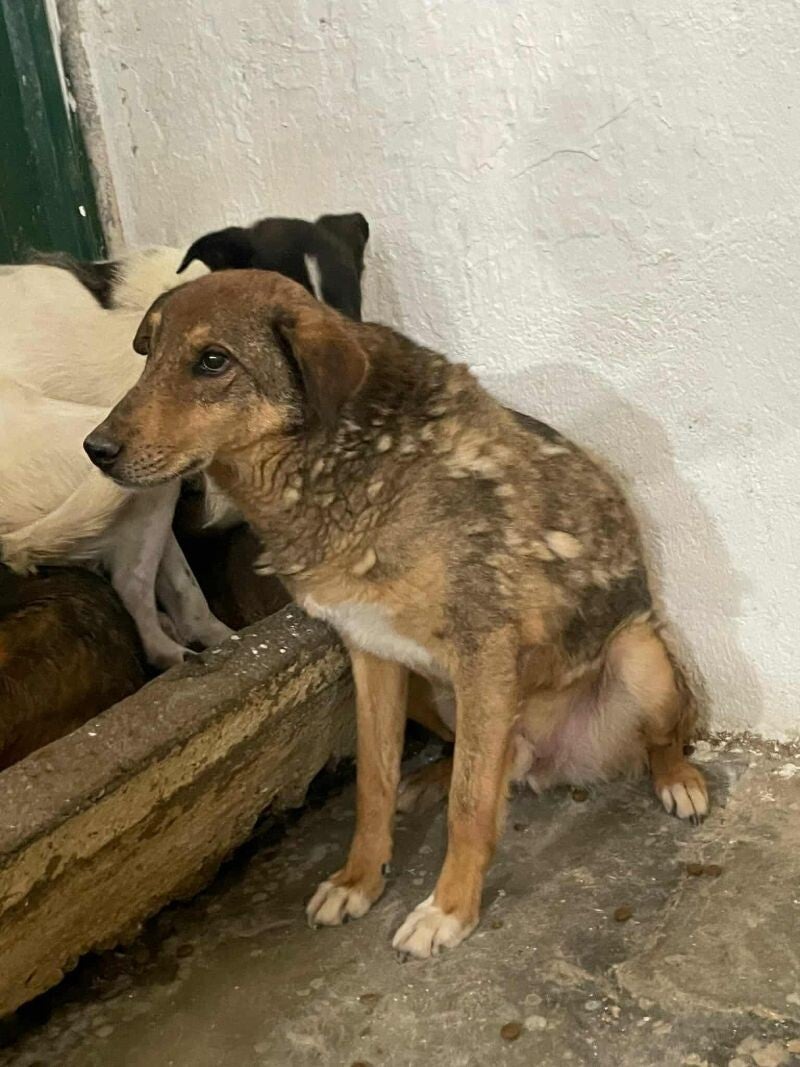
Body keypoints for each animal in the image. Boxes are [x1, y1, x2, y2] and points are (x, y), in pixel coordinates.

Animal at [86, 269, 709, 959]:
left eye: (213, 361)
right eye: (148, 354)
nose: (94, 449)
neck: (344, 468)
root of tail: (548, 761)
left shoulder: (484, 650)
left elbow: (470, 806)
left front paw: (449, 910)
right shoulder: (371, 655)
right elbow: (374, 784)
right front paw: (359, 880)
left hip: (639, 657)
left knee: (656, 737)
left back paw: (680, 780)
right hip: (428, 692)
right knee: (471, 756)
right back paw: (432, 778)